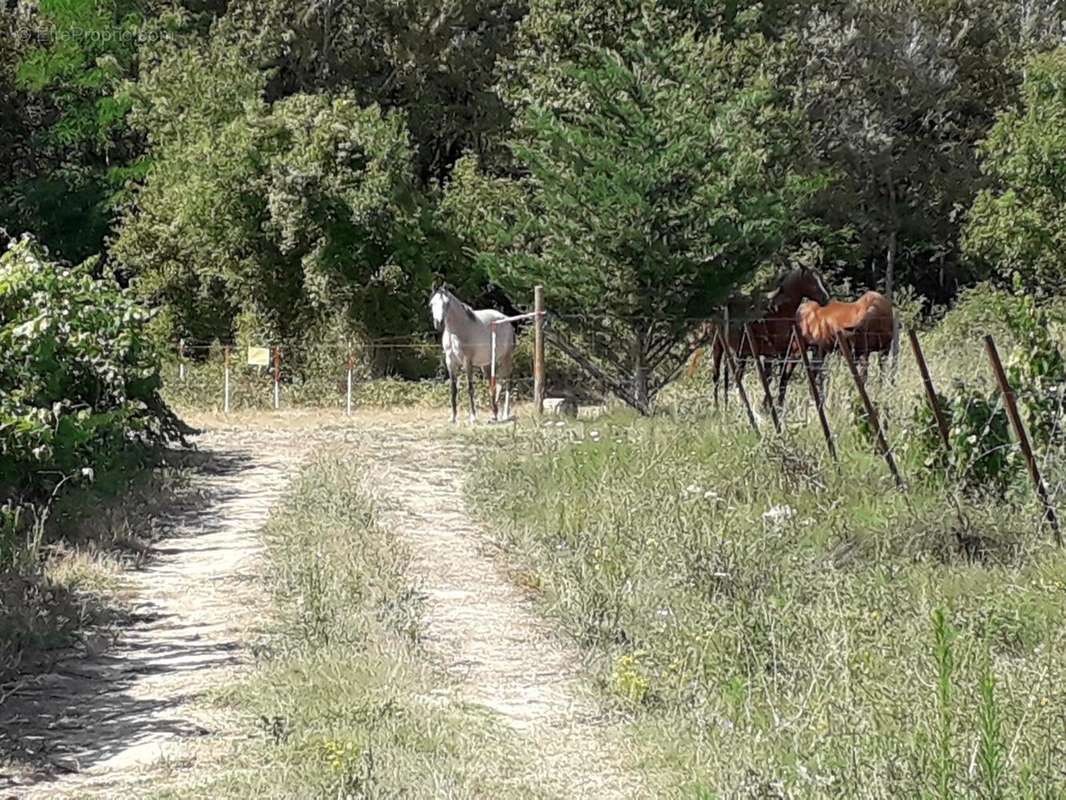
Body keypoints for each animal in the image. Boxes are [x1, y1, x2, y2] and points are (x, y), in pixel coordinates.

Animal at [430, 288, 518, 426]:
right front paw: (453, 417)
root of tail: (507, 321)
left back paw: (504, 414)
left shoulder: (468, 362)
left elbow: (470, 388)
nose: (438, 323)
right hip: (487, 364)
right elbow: (453, 389)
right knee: (493, 384)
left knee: (507, 381)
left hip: (505, 358)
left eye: (446, 304)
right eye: (432, 303)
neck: (457, 331)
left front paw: (473, 417)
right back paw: (494, 413)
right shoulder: (450, 362)